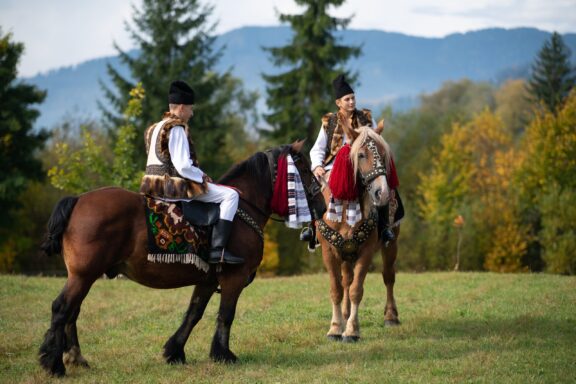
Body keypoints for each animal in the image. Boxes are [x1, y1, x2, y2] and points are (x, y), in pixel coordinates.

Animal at [38, 141, 326, 376]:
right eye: (303, 167)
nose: (322, 204)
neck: (242, 209)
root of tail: (78, 200)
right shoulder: (233, 277)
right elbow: (226, 314)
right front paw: (223, 354)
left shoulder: (208, 280)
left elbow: (193, 313)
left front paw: (174, 351)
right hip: (84, 275)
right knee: (62, 308)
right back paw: (54, 364)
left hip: (84, 276)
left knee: (72, 311)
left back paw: (74, 358)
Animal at [316, 127, 400, 342]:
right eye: (361, 155)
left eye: (384, 154)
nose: (382, 193)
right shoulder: (329, 252)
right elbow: (337, 289)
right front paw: (336, 328)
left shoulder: (367, 252)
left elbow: (356, 290)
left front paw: (352, 331)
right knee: (346, 279)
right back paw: (344, 315)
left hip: (392, 244)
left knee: (388, 276)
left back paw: (391, 317)